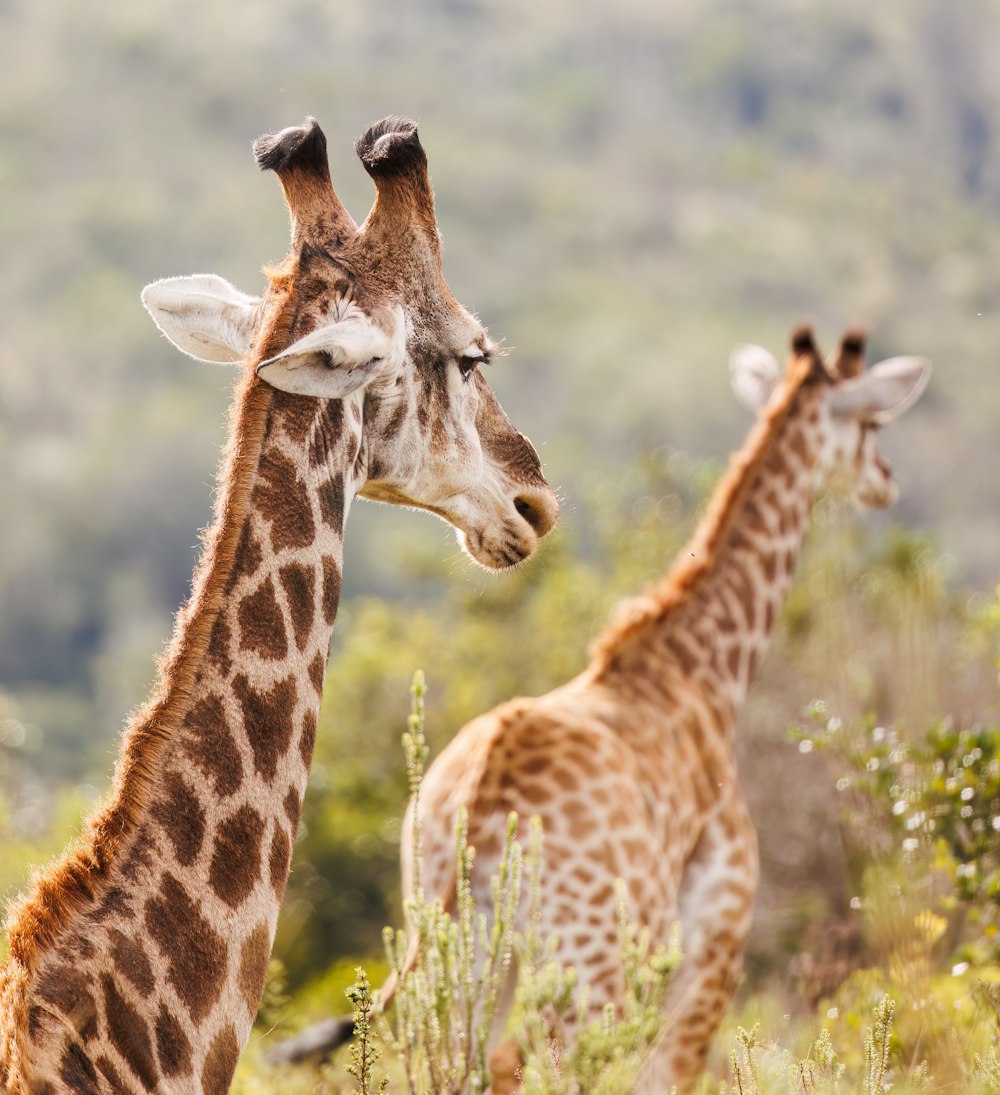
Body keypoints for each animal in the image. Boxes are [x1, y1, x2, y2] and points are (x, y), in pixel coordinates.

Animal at [272, 324, 928, 1086]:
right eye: (873, 423)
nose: (887, 480)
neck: (705, 670)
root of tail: (485, 800)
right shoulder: (716, 939)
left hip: (453, 944)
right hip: (591, 964)